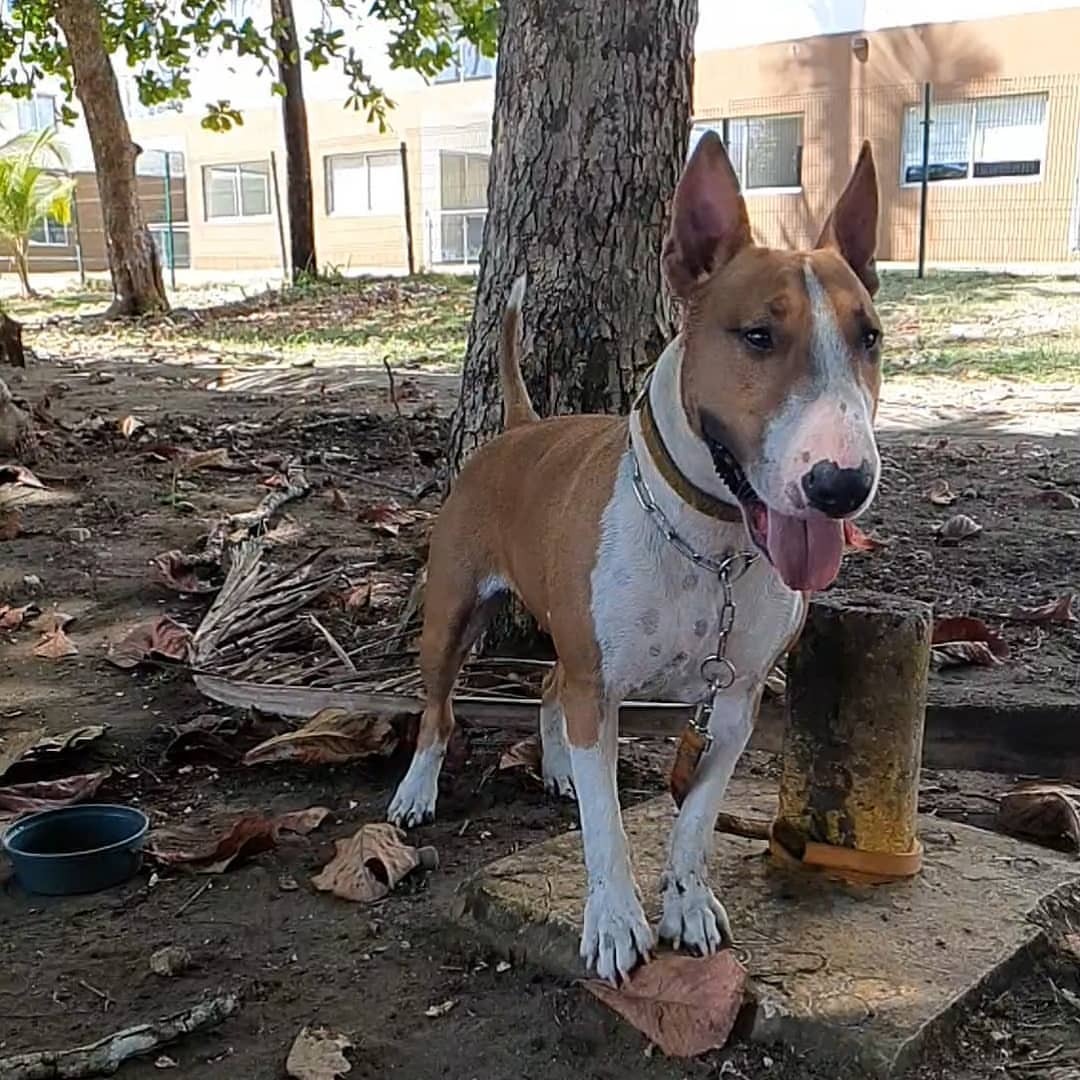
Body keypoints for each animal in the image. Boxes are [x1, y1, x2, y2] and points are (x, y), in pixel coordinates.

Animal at [384, 130, 881, 984]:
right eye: (758, 335)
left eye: (869, 337)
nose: (841, 485)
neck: (710, 546)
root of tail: (520, 426)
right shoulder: (602, 687)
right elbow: (607, 825)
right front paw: (615, 922)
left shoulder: (736, 700)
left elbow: (695, 819)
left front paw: (687, 901)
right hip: (451, 614)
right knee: (442, 710)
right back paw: (419, 789)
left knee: (548, 686)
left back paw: (555, 766)